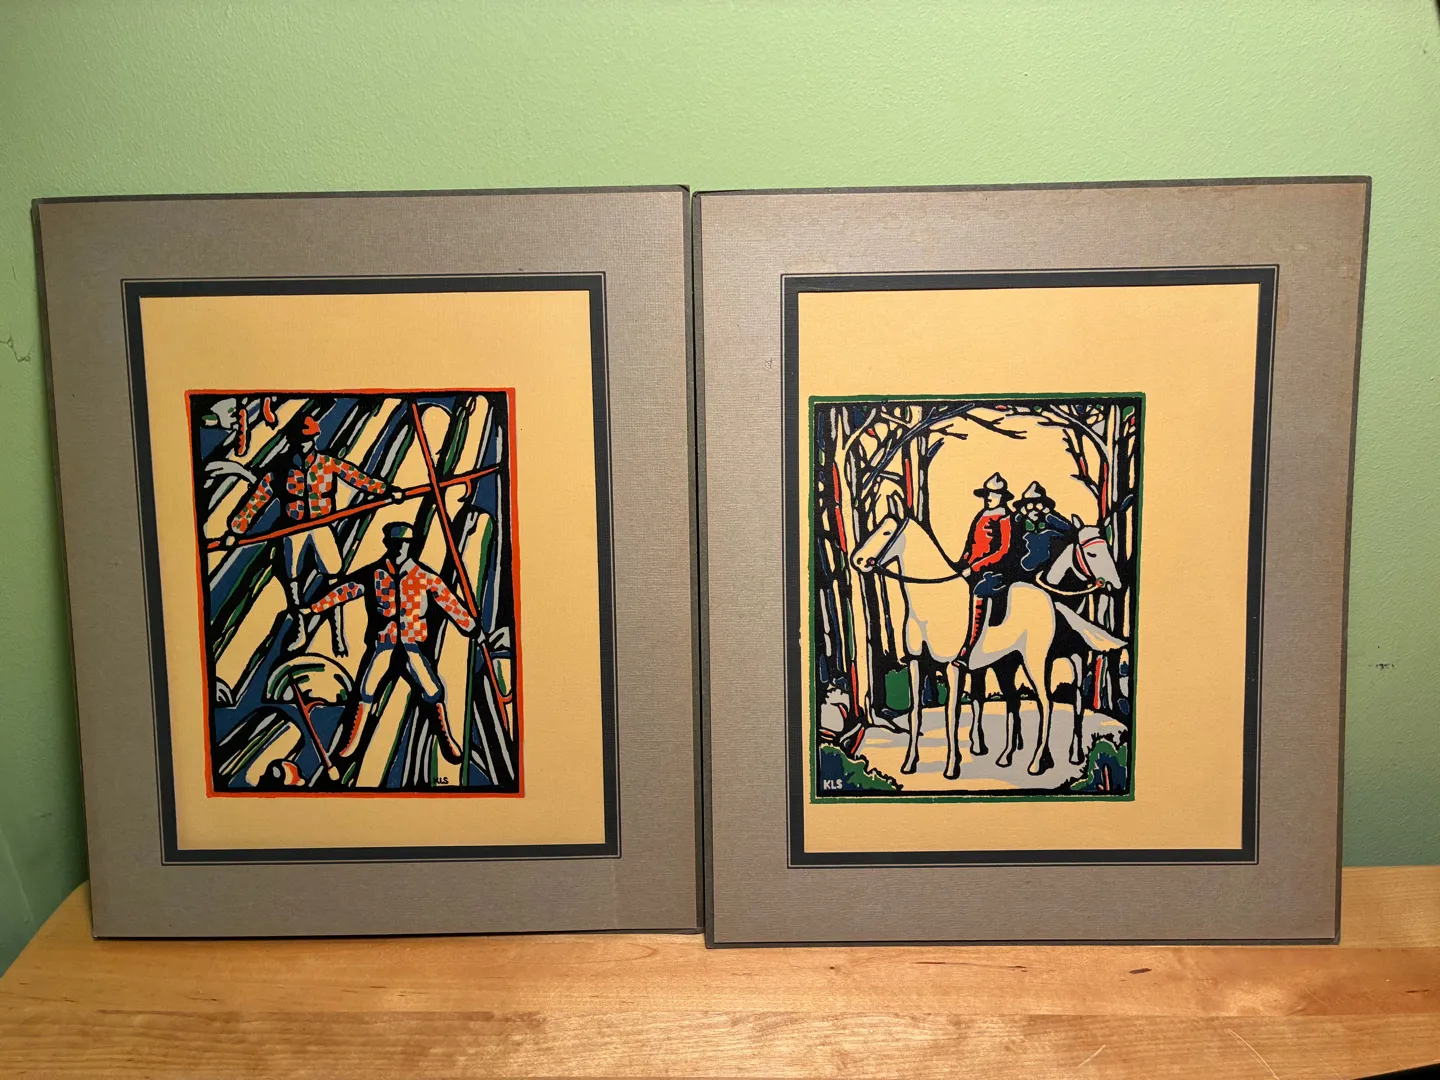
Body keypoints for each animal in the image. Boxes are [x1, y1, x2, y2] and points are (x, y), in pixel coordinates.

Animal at [850, 513, 1125, 779]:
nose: (858, 560)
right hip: (1009, 664)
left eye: (886, 532)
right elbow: (916, 712)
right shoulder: (917, 663)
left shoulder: (953, 667)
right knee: (1017, 701)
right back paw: (1011, 756)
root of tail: (1047, 599)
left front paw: (952, 767)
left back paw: (1038, 762)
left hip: (1036, 661)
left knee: (1049, 703)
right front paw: (909, 763)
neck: (933, 602)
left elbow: (952, 714)